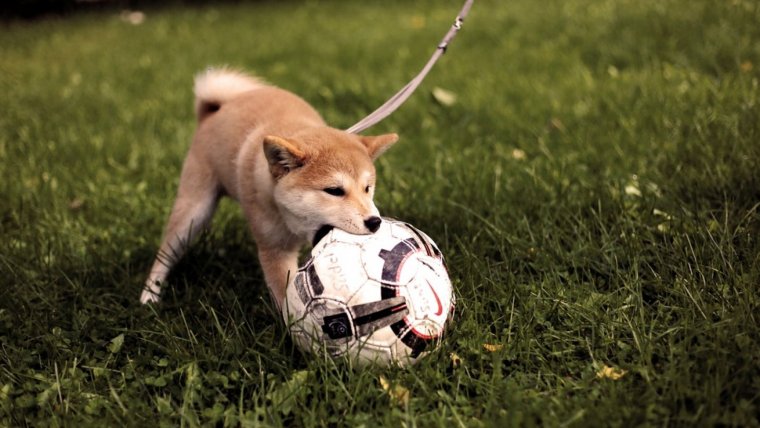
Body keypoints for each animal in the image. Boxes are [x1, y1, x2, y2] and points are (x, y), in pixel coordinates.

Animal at [144, 67, 404, 308]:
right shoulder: (275, 249)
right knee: (166, 252)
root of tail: (215, 110)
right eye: (334, 191)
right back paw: (150, 294)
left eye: (367, 188)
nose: (375, 222)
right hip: (194, 210)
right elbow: (285, 295)